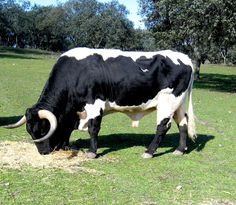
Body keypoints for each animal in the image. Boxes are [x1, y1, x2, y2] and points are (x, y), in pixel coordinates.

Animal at [6, 47, 196, 158]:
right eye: (30, 131)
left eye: (43, 129)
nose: (43, 152)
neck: (75, 73)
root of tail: (184, 58)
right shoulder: (73, 111)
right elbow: (67, 127)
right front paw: (65, 145)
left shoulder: (94, 104)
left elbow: (93, 129)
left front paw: (92, 152)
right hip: (178, 104)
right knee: (183, 123)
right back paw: (180, 150)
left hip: (168, 102)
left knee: (163, 126)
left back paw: (149, 152)